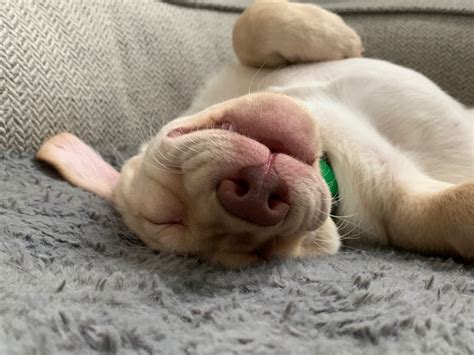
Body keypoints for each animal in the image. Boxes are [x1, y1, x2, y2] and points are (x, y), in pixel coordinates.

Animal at [38, 0, 474, 268]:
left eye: (162, 216)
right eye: (272, 251)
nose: (255, 197)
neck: (327, 141)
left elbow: (248, 23)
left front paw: (335, 36)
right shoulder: (399, 205)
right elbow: (452, 207)